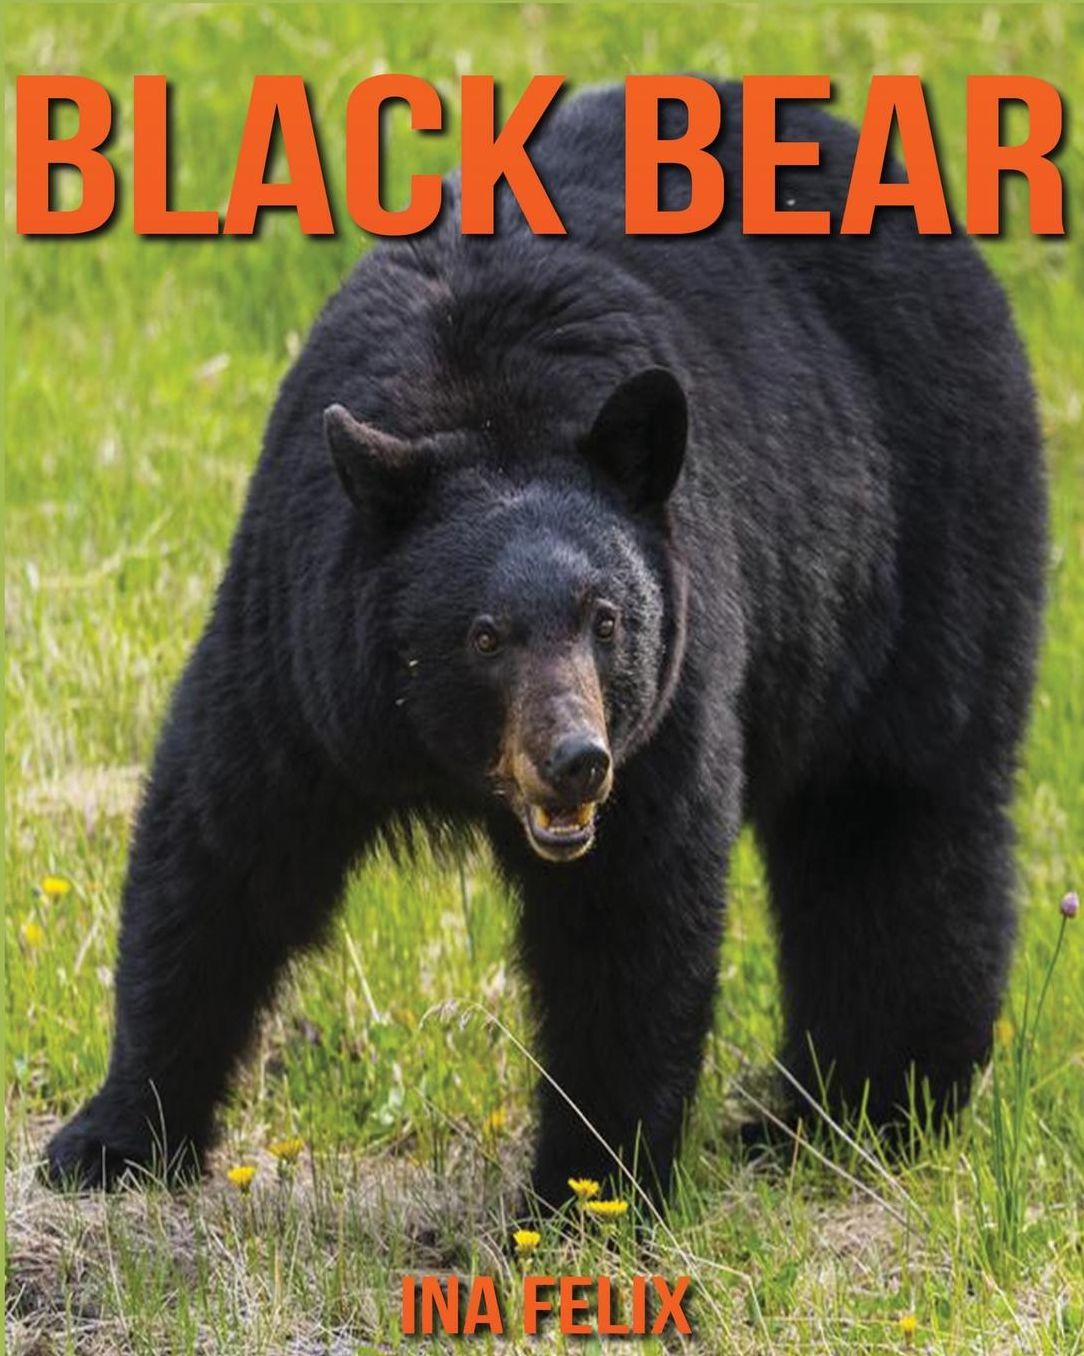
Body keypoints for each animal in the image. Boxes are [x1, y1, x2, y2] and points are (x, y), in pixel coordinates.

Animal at [45, 81, 1046, 1208]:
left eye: (606, 619)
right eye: (482, 635)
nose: (576, 758)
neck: (485, 407)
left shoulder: (672, 693)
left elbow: (628, 922)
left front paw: (587, 1191)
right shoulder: (297, 643)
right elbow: (222, 853)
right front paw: (110, 1137)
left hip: (927, 531)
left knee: (897, 818)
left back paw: (862, 1112)